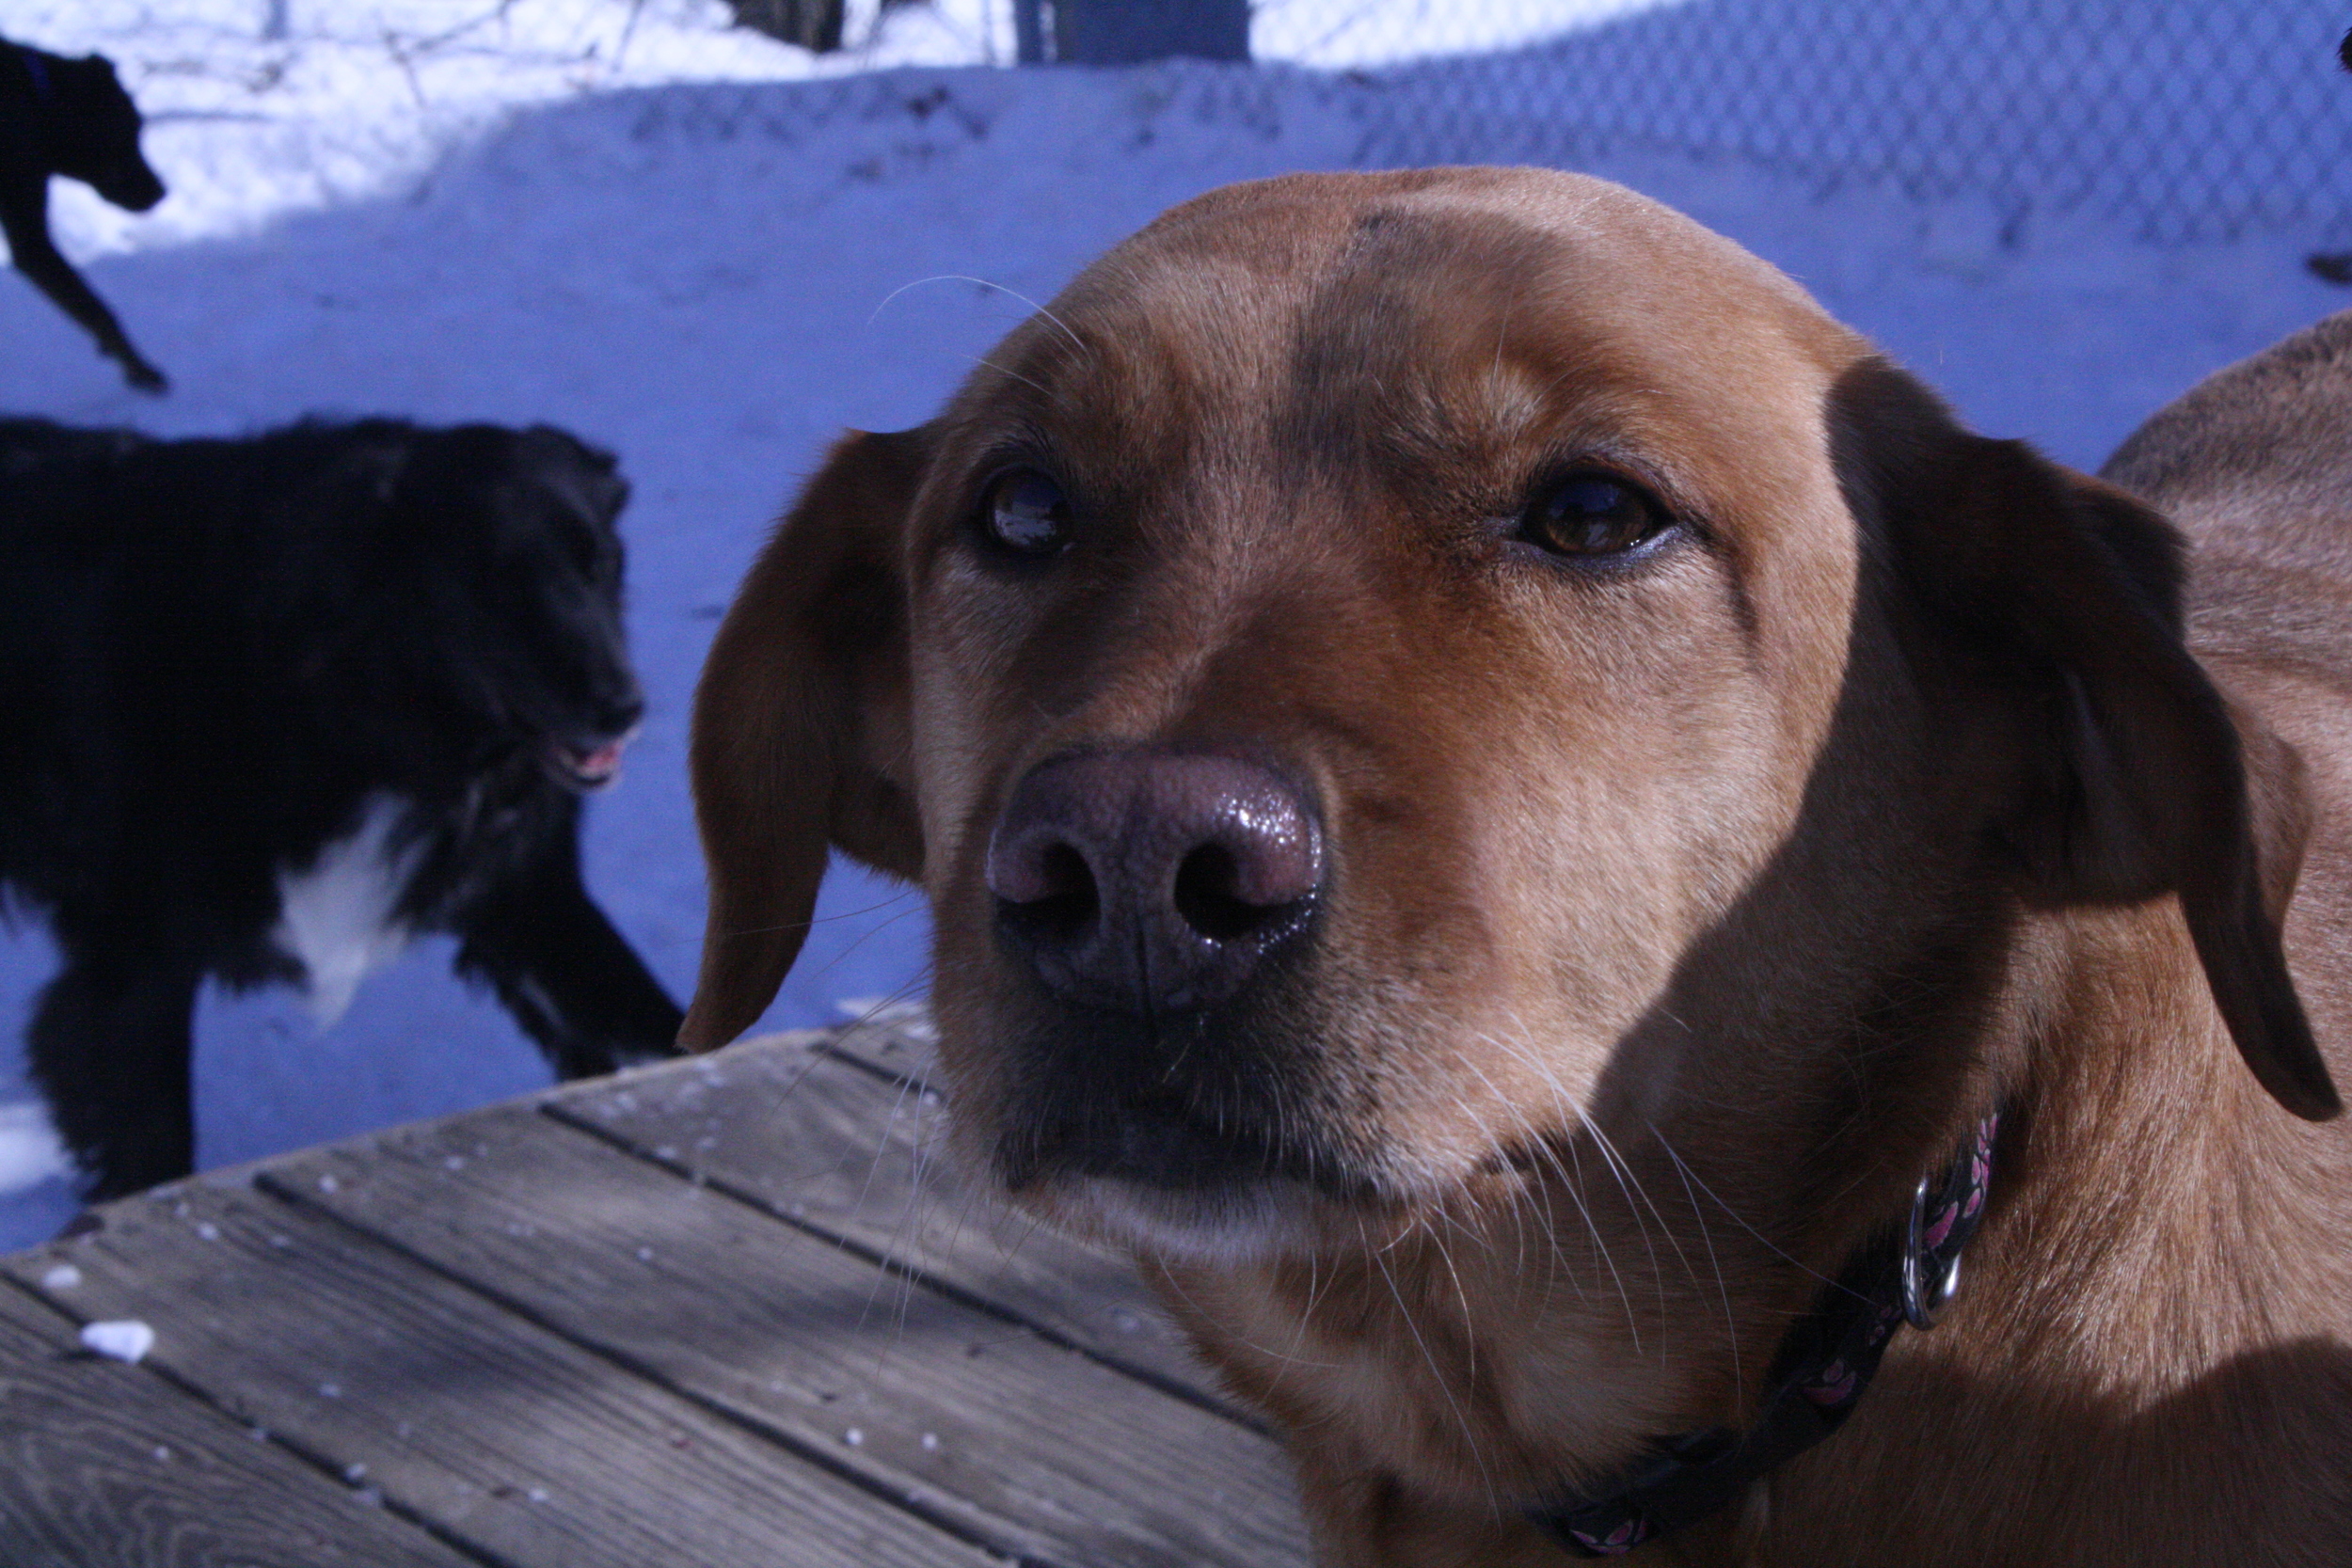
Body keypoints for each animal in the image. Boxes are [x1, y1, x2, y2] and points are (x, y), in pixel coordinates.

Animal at [0, 37, 167, 392]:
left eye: (141, 126)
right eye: (128, 134)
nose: (162, 191)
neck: (37, 99)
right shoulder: (33, 243)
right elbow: (97, 308)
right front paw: (138, 368)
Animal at [0, 416, 682, 1203]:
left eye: (600, 564)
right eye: (500, 585)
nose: (624, 709)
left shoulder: (525, 900)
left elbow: (661, 1032)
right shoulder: (129, 977)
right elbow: (152, 1158)